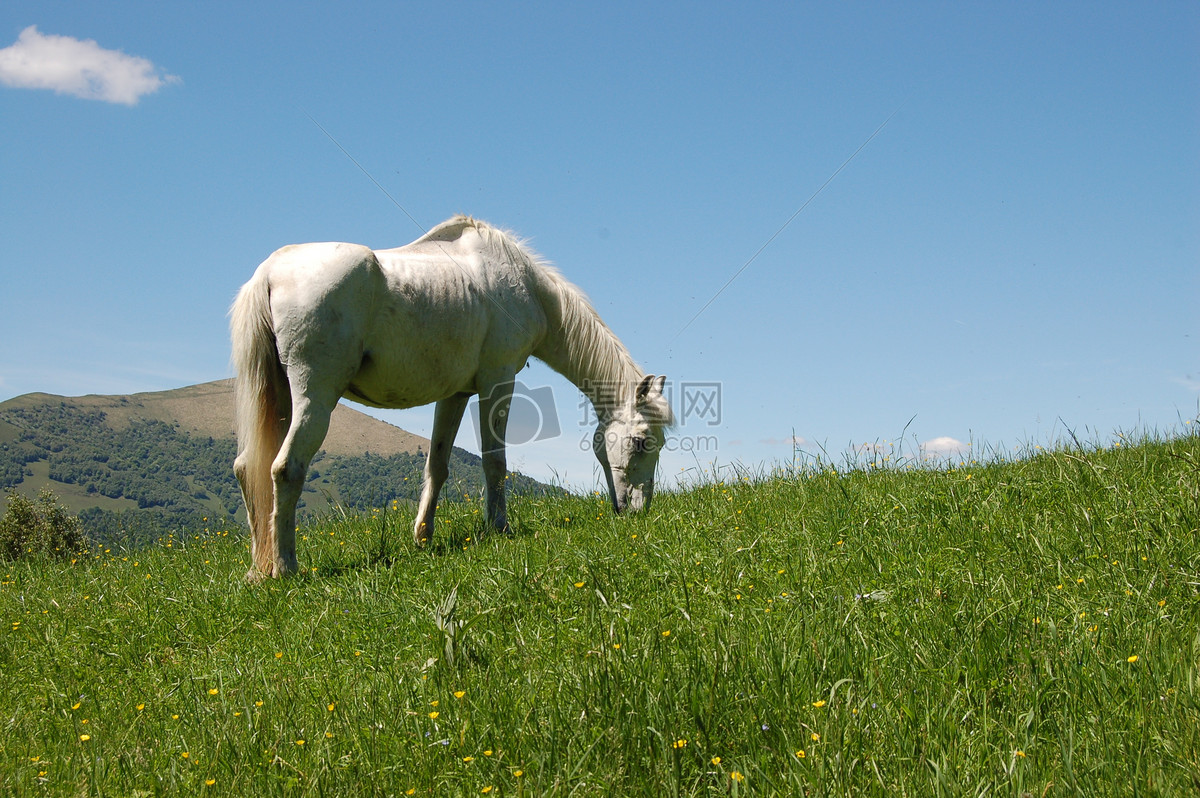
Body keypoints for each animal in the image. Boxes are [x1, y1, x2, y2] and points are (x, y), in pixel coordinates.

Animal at [229, 214, 672, 578]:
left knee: (248, 467)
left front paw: (423, 536)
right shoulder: (497, 383)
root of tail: (269, 272)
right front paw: (498, 527)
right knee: (286, 468)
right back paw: (285, 567)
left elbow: (437, 466)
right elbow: (495, 462)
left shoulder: (455, 395)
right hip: (315, 396)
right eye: (640, 441)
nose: (640, 510)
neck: (526, 287)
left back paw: (257, 569)